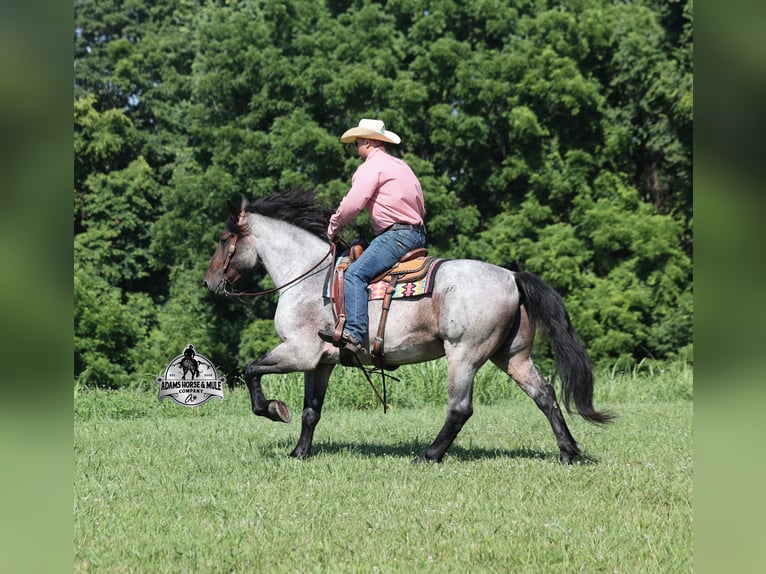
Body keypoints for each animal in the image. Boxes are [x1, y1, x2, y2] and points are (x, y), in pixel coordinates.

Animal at [203, 190, 613, 464]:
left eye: (223, 239)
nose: (209, 282)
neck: (308, 278)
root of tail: (512, 276)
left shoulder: (299, 352)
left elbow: (251, 371)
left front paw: (273, 410)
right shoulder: (319, 363)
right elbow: (310, 411)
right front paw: (299, 452)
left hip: (464, 354)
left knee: (460, 408)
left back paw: (429, 455)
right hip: (511, 356)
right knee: (545, 395)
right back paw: (568, 452)